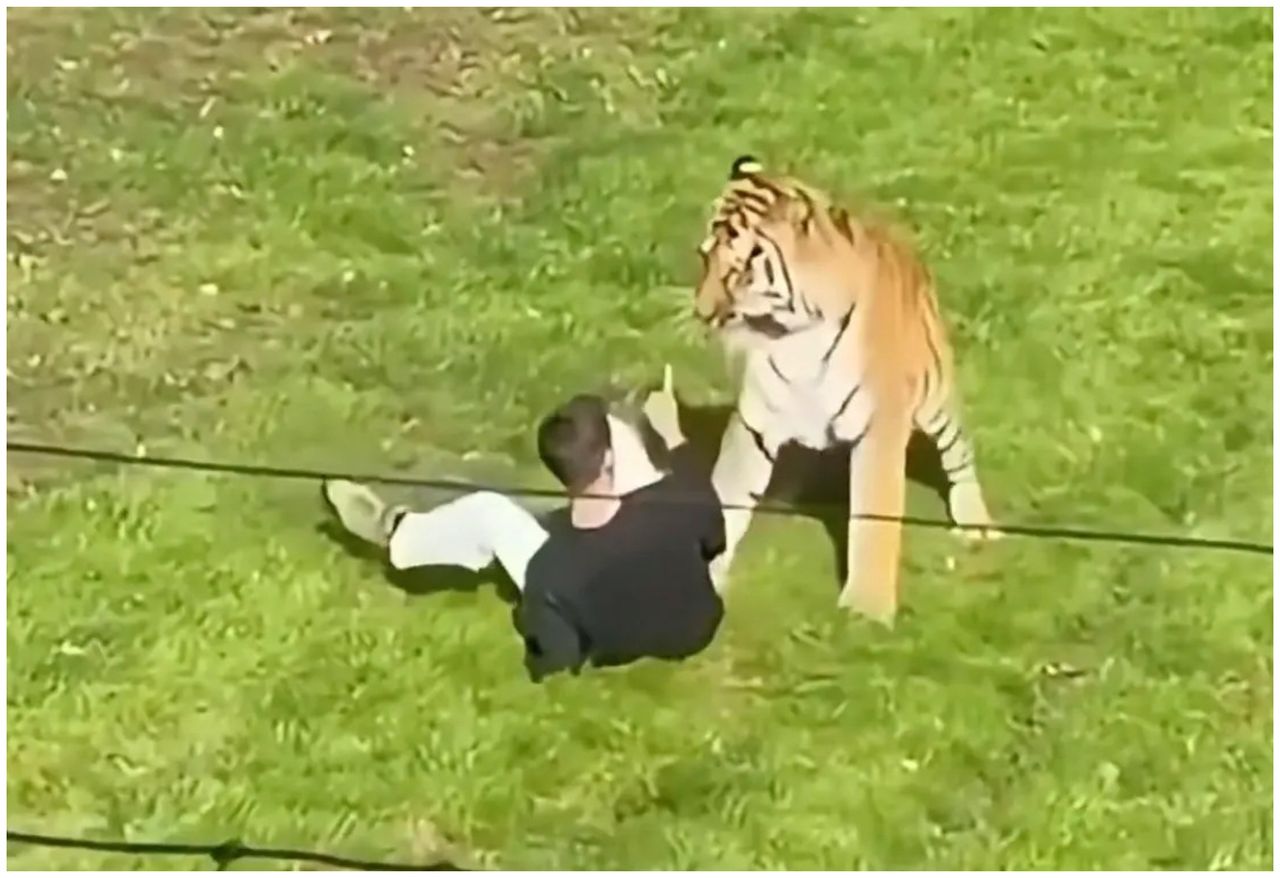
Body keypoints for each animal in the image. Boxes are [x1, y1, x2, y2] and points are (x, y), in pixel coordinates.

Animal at [692, 156, 999, 623]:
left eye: (741, 271)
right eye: (704, 257)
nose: (702, 312)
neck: (794, 334)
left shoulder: (880, 428)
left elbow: (873, 517)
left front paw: (866, 609)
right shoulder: (755, 422)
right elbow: (728, 492)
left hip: (936, 401)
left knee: (959, 456)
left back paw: (975, 522)